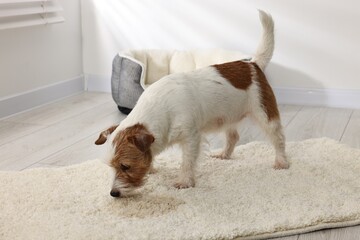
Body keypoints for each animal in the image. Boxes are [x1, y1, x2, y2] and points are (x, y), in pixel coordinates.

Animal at [95, 10, 290, 198]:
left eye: (125, 166)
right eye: (111, 166)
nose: (113, 193)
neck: (162, 110)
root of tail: (253, 64)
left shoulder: (191, 137)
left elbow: (187, 162)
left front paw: (184, 182)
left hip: (264, 113)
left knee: (278, 138)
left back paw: (281, 162)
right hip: (227, 116)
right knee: (233, 137)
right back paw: (224, 154)